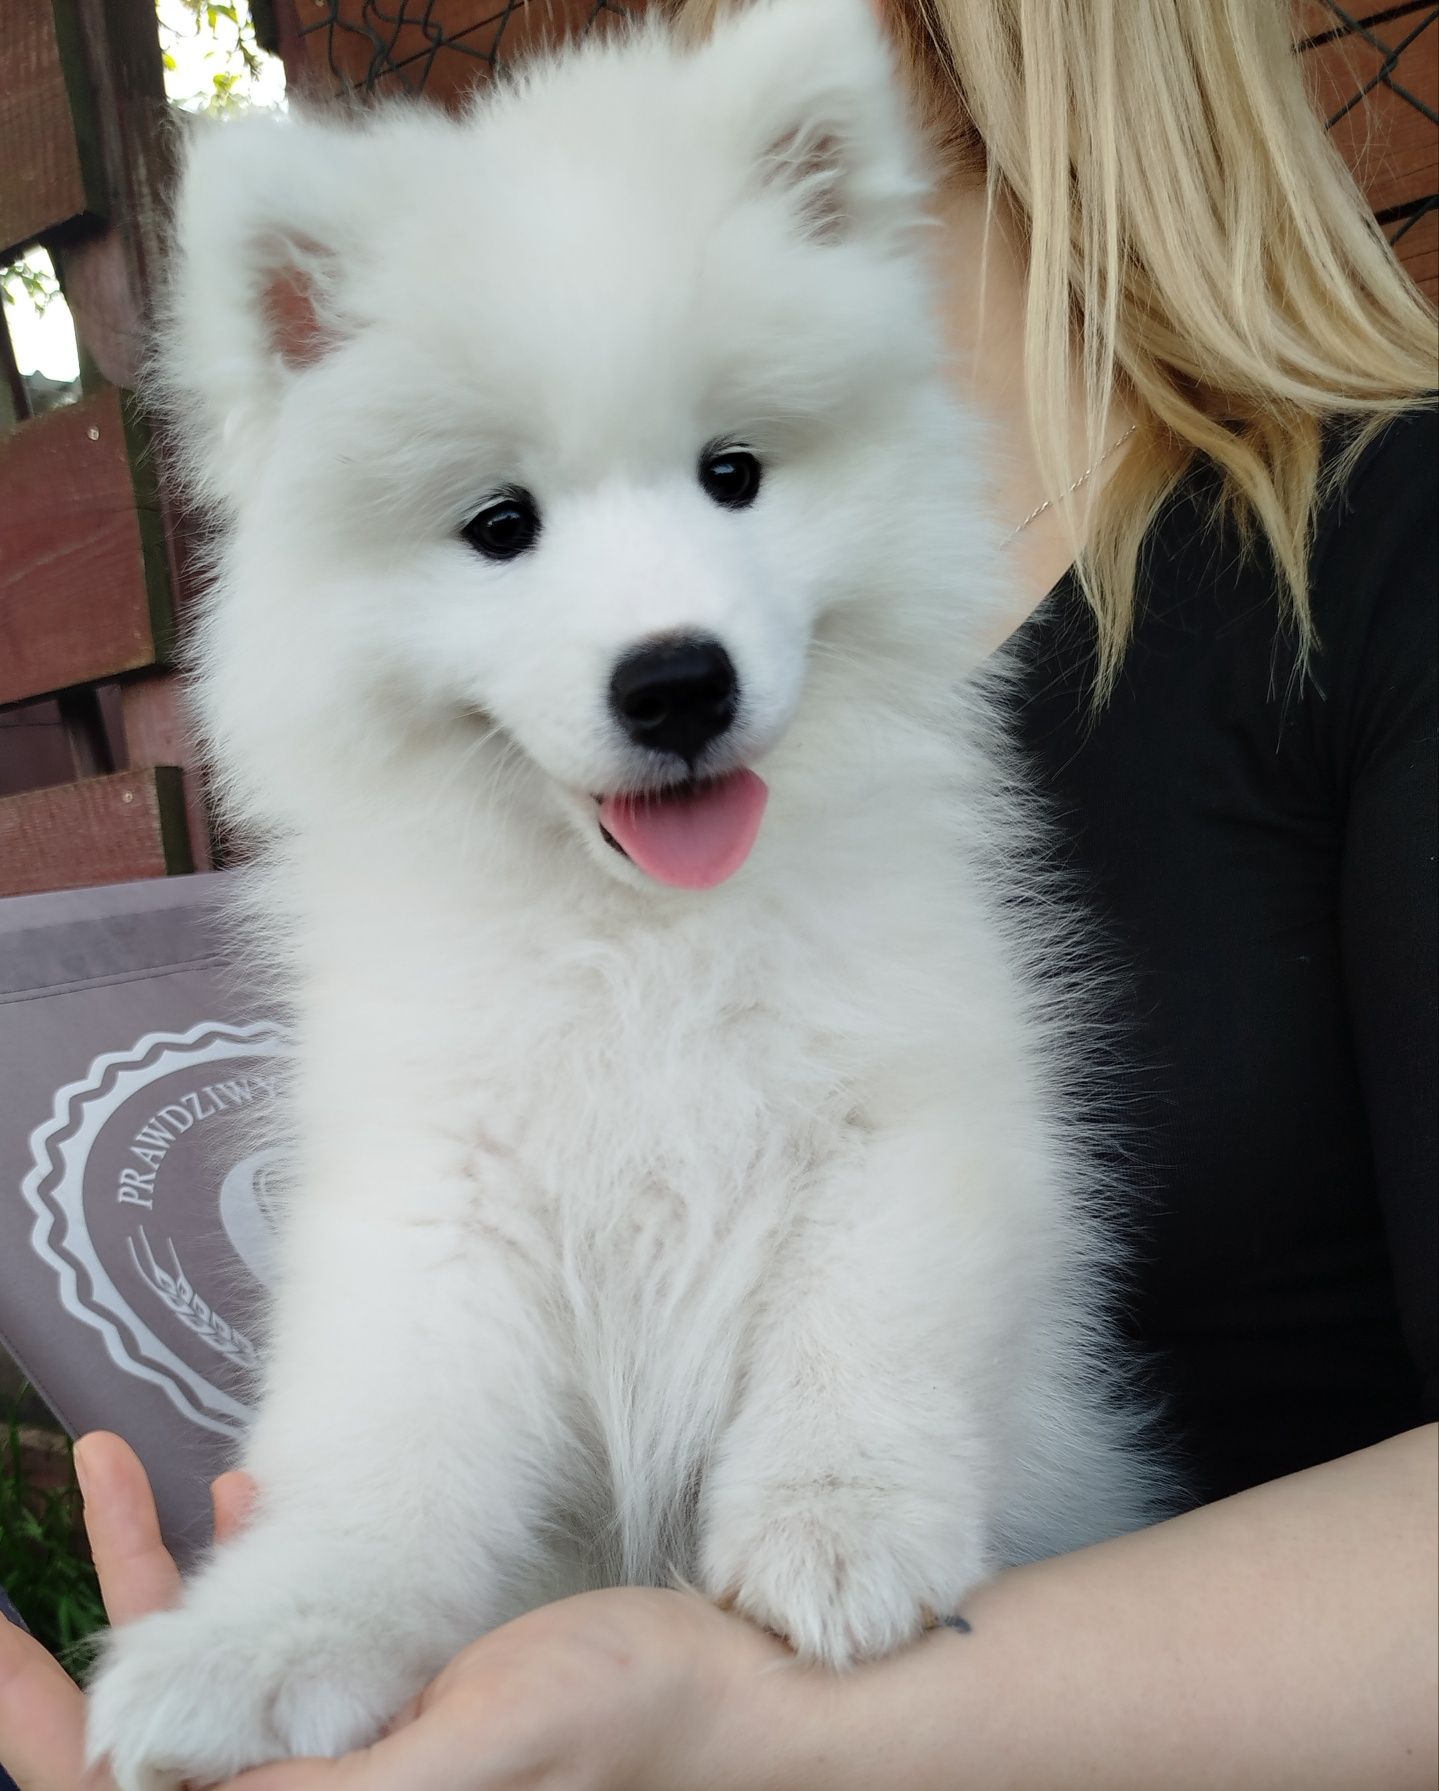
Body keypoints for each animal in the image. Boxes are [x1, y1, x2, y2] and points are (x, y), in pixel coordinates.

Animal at [90, 6, 1168, 1783]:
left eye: (732, 472)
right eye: (497, 525)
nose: (675, 679)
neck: (641, 941)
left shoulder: (905, 1112)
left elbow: (855, 1327)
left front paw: (837, 1521)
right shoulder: (436, 1193)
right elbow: (381, 1446)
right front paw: (272, 1635)